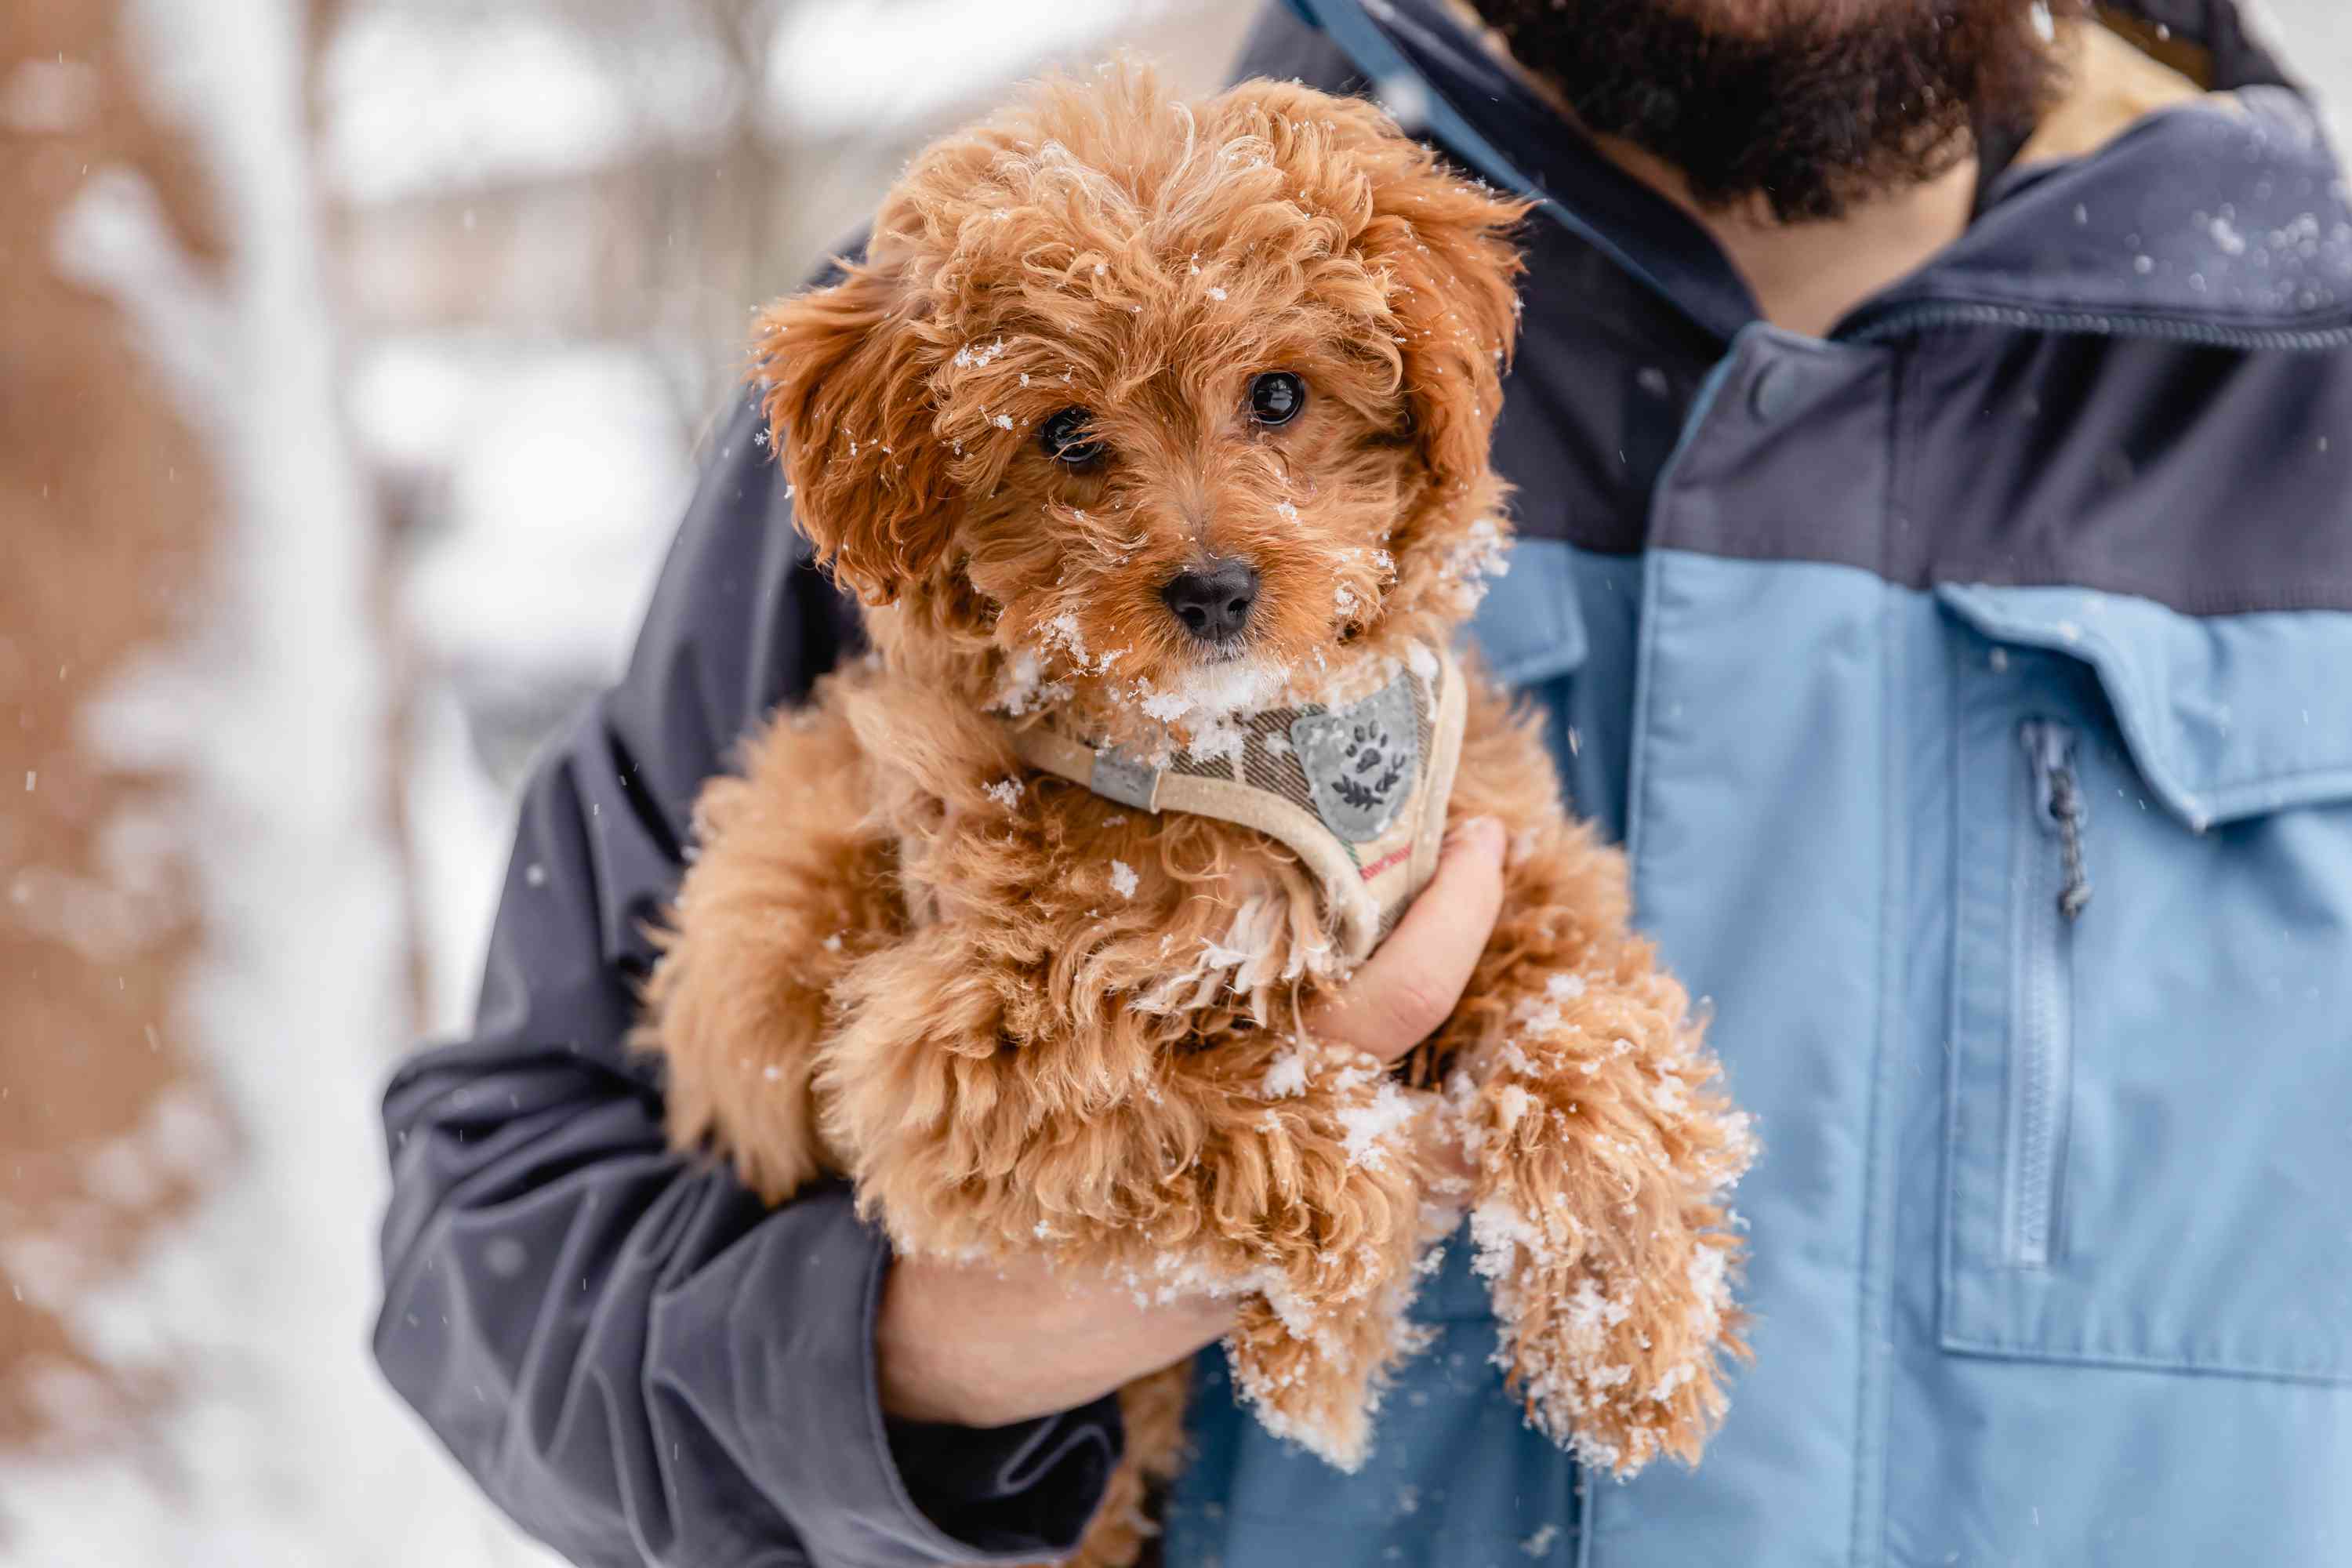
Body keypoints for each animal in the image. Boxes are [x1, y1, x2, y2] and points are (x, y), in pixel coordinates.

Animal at [640, 64, 1750, 1568]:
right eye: (1065, 434)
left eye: (1277, 394)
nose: (1216, 586)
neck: (1248, 741)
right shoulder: (964, 1058)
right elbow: (1254, 1116)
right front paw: (1331, 1353)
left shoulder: (1506, 872)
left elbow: (1594, 1039)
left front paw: (1629, 1320)